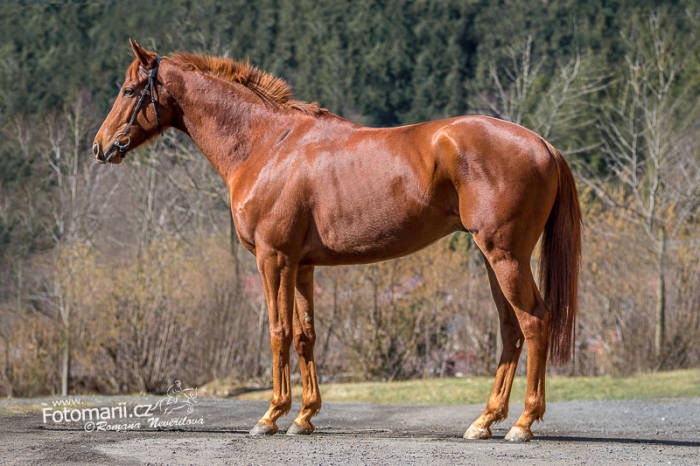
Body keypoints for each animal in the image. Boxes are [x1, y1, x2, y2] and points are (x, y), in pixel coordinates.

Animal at [95, 41, 584, 442]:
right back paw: (484, 421)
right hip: (492, 260)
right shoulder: (302, 265)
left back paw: (522, 424)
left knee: (534, 322)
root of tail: (542, 144)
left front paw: (271, 416)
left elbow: (278, 332)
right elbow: (305, 335)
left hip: (506, 258)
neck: (268, 145)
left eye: (128, 89)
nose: (100, 147)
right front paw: (304, 417)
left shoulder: (273, 259)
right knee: (510, 330)